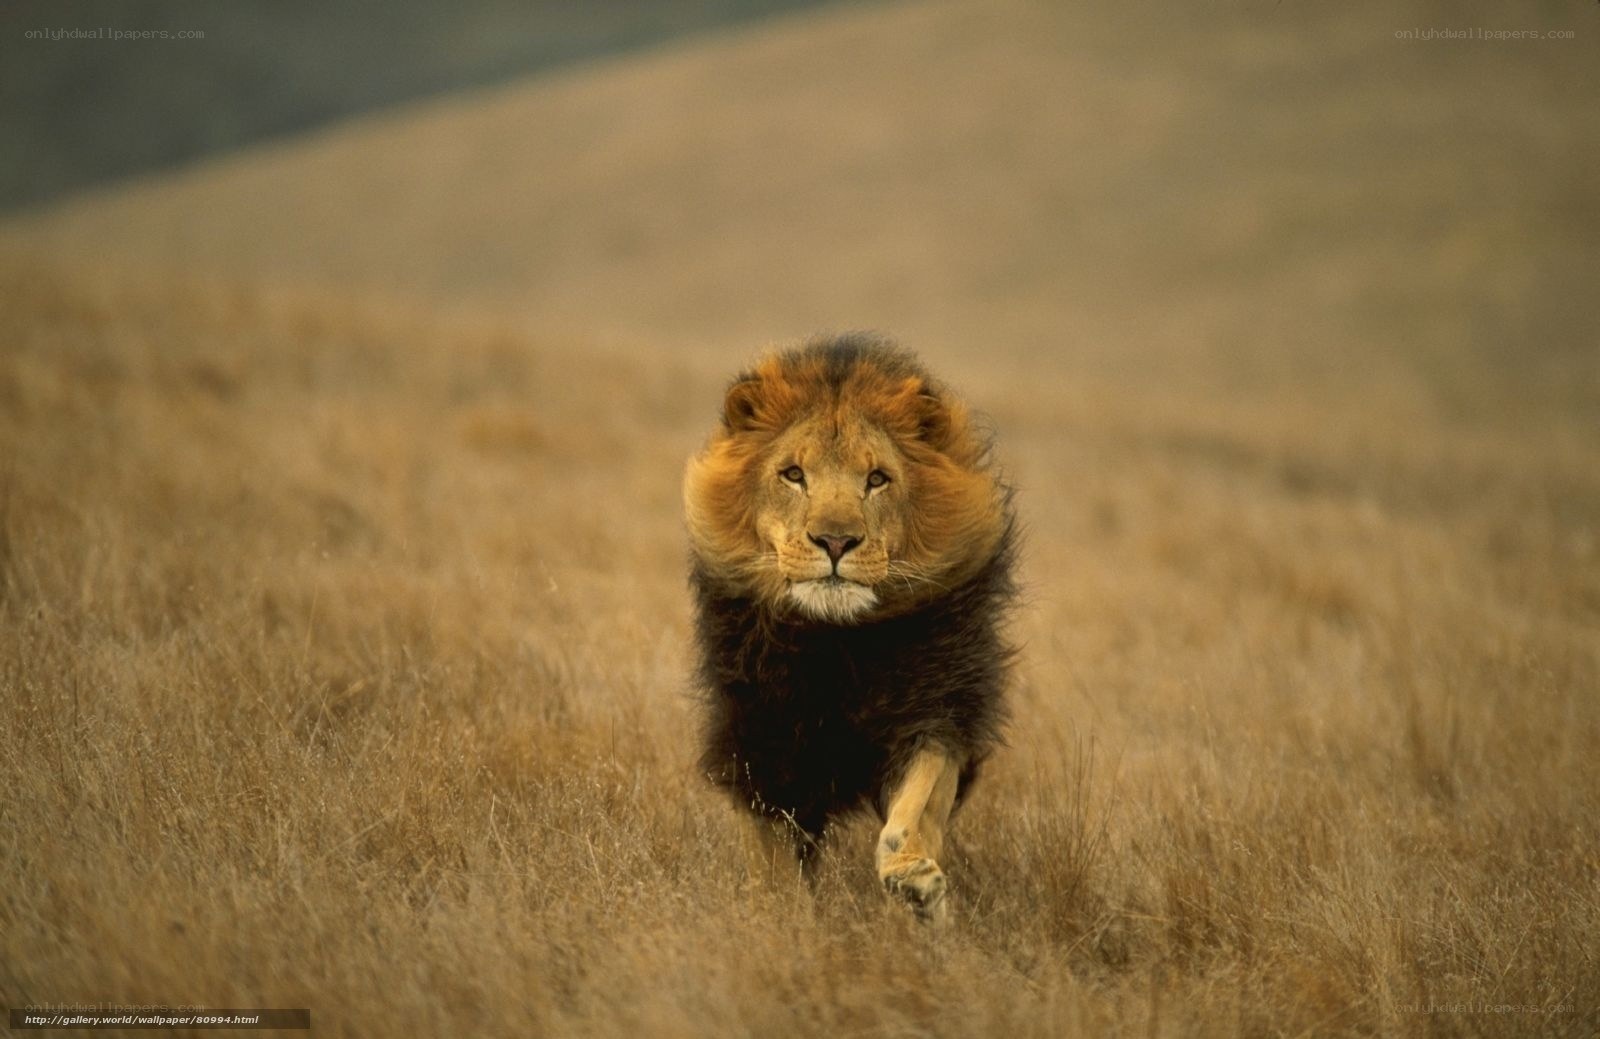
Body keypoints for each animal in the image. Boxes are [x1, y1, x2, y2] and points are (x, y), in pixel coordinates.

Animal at [683, 333, 1016, 923]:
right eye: (794, 475)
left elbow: (915, 807)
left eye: (877, 479)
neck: (836, 645)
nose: (835, 541)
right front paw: (781, 919)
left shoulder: (935, 711)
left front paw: (913, 879)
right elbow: (772, 864)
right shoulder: (761, 744)